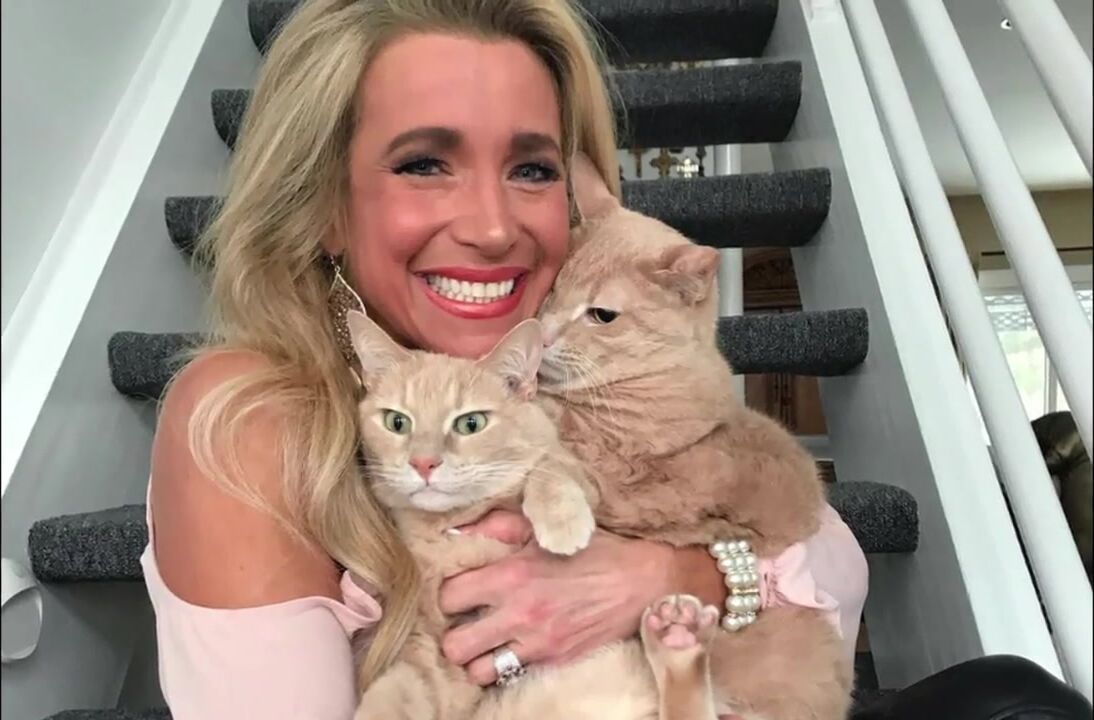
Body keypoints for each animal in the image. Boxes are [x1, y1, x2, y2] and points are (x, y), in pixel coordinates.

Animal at [346, 310, 725, 720]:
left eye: (471, 423)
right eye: (397, 422)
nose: (423, 463)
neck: (447, 528)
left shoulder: (586, 479)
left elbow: (549, 467)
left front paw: (561, 522)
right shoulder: (425, 651)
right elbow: (393, 692)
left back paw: (678, 639)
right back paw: (677, 639)